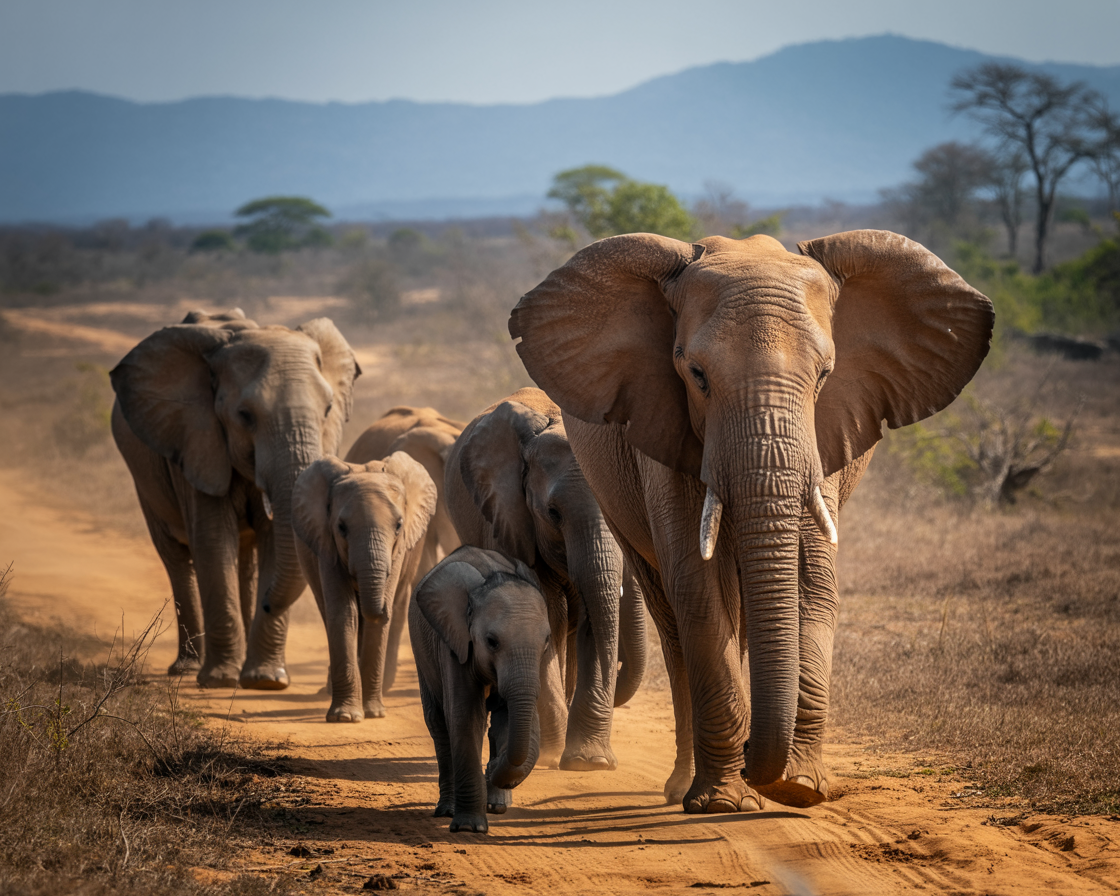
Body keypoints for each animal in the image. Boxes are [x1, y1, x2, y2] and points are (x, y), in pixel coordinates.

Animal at [110, 308, 360, 689]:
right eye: (245, 416)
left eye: (329, 408)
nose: (270, 603)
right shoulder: (197, 440)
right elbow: (213, 542)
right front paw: (220, 680)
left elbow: (273, 541)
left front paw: (265, 680)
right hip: (146, 476)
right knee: (176, 558)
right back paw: (187, 669)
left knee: (246, 562)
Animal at [292, 452, 437, 721]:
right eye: (341, 528)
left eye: (399, 525)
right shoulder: (326, 542)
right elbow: (344, 612)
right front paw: (345, 717)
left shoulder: (399, 551)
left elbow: (375, 621)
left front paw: (374, 714)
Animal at [410, 545, 553, 833]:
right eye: (491, 641)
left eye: (546, 641)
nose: (493, 765)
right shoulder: (455, 643)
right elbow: (464, 717)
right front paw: (468, 828)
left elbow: (507, 718)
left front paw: (497, 779)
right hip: (421, 650)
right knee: (438, 723)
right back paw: (447, 810)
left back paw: (496, 805)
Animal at [445, 387, 646, 771]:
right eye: (553, 514)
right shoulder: (509, 522)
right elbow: (543, 616)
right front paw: (556, 754)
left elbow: (590, 616)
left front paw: (589, 761)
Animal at [509, 230, 994, 812]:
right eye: (696, 376)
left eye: (825, 375)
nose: (753, 760)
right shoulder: (663, 431)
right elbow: (697, 589)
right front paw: (728, 802)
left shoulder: (826, 437)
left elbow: (813, 583)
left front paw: (798, 788)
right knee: (673, 616)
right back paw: (687, 788)